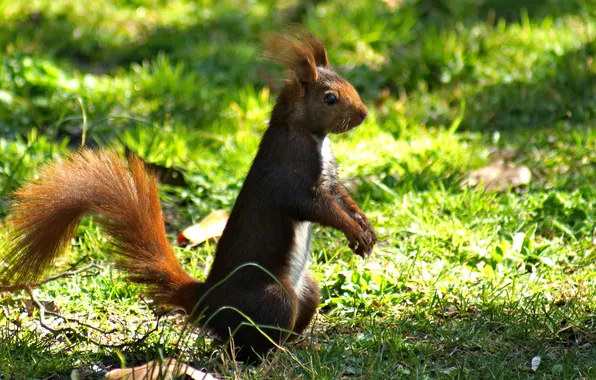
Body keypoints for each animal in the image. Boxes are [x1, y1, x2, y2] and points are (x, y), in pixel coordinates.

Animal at [1, 26, 378, 362]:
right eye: (330, 98)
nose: (363, 114)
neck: (310, 135)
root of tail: (206, 302)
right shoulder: (291, 177)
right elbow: (316, 207)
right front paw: (355, 232)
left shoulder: (329, 180)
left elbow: (341, 198)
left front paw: (366, 228)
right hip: (275, 296)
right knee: (244, 344)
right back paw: (272, 356)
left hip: (307, 291)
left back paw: (301, 345)